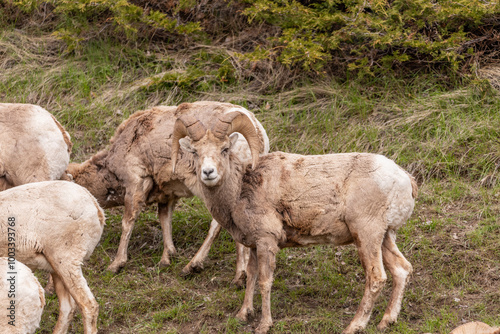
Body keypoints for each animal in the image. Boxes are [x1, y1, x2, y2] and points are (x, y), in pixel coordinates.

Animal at [67, 101, 270, 282]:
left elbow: (128, 222)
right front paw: (167, 258)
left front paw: (116, 265)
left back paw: (195, 267)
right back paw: (238, 277)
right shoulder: (167, 195)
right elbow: (165, 220)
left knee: (217, 224)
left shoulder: (136, 183)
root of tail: (257, 132)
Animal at [172, 108, 418, 332]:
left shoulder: (267, 242)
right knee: (402, 269)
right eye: (195, 152)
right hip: (385, 237)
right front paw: (243, 314)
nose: (208, 172)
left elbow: (264, 281)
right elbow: (250, 277)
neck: (241, 191)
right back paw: (386, 321)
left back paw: (353, 326)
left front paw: (264, 325)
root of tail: (405, 179)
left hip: (367, 235)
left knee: (376, 278)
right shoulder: (253, 245)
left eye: (224, 149)